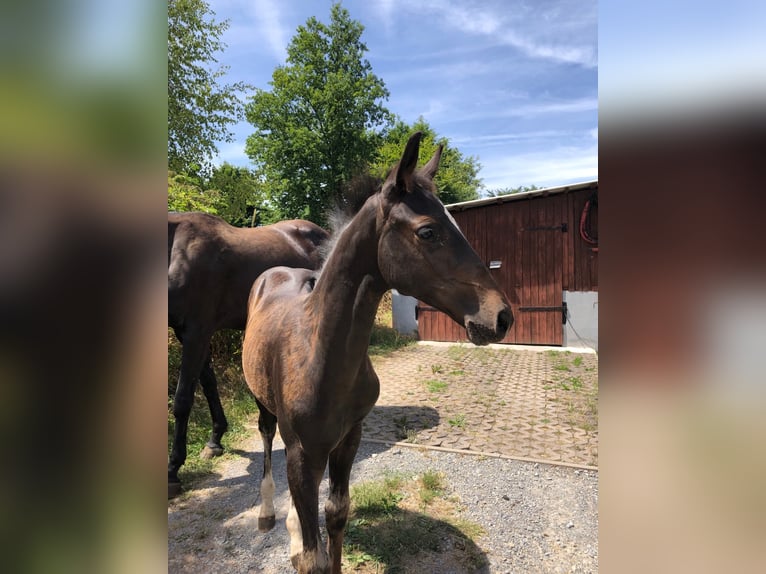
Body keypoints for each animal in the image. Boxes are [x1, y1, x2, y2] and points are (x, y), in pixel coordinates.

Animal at [243, 133, 512, 572]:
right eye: (428, 232)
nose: (502, 317)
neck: (322, 357)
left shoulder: (348, 439)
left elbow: (335, 515)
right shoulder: (303, 452)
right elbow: (315, 553)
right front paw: (300, 543)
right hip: (262, 401)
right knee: (267, 437)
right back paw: (268, 515)